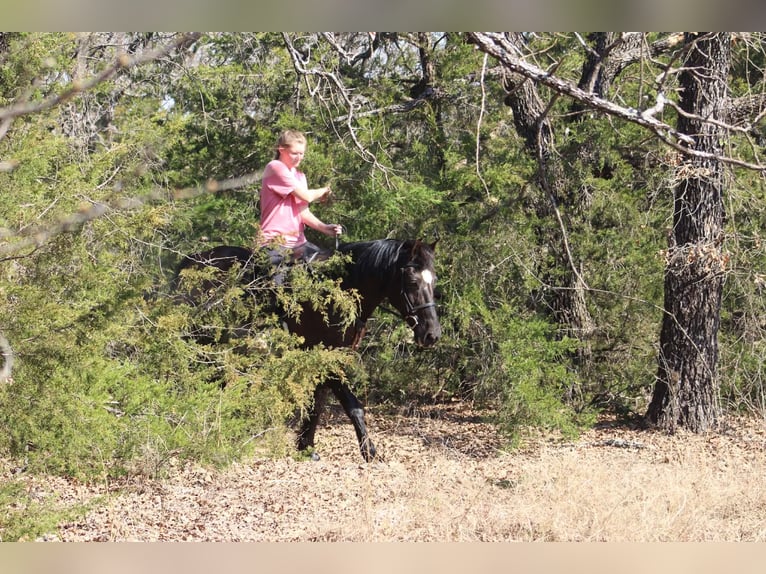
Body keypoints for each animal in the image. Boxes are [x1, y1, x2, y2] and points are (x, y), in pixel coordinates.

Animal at [174, 238, 441, 461]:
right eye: (413, 282)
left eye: (434, 281)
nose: (432, 335)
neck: (338, 292)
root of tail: (193, 260)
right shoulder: (328, 357)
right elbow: (352, 406)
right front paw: (370, 452)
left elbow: (317, 403)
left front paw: (306, 446)